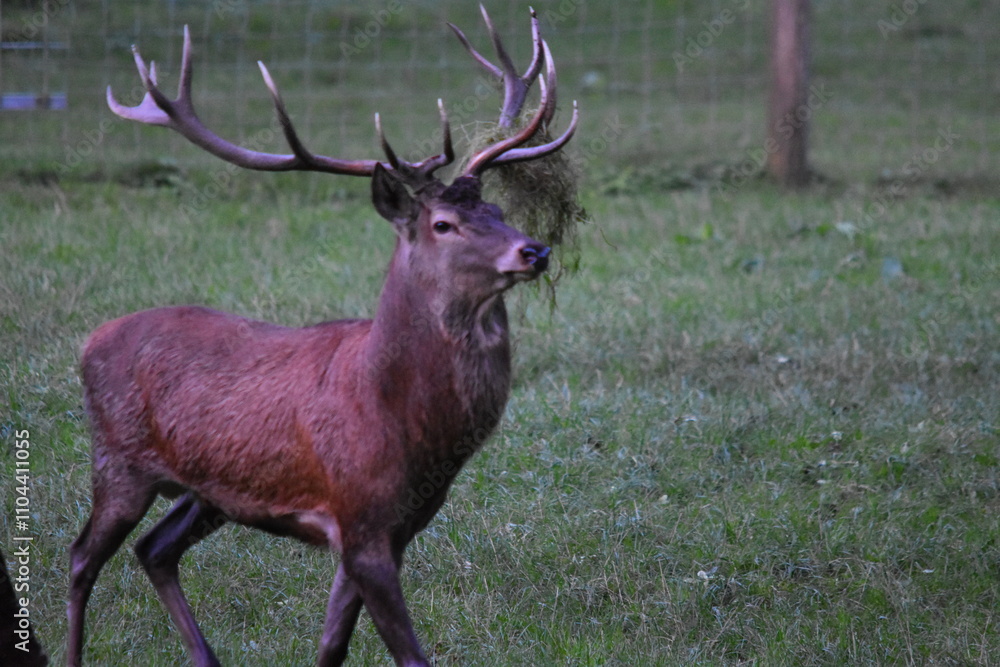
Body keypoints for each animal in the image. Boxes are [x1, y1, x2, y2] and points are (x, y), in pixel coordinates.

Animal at [67, 7, 577, 667]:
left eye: (496, 211)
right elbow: (410, 655)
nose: (534, 249)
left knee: (155, 548)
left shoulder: (393, 528)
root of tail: (90, 341)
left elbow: (331, 645)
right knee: (82, 557)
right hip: (118, 461)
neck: (403, 424)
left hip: (209, 493)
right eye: (443, 224)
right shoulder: (360, 520)